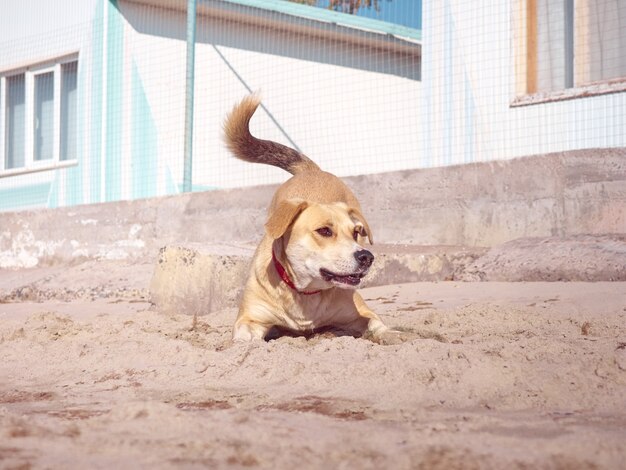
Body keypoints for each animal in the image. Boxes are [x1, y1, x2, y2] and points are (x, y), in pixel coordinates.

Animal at [224, 93, 400, 344]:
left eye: (356, 232)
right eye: (324, 231)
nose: (366, 257)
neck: (306, 294)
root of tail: (312, 171)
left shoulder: (359, 310)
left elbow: (376, 323)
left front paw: (390, 334)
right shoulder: (250, 319)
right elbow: (246, 337)